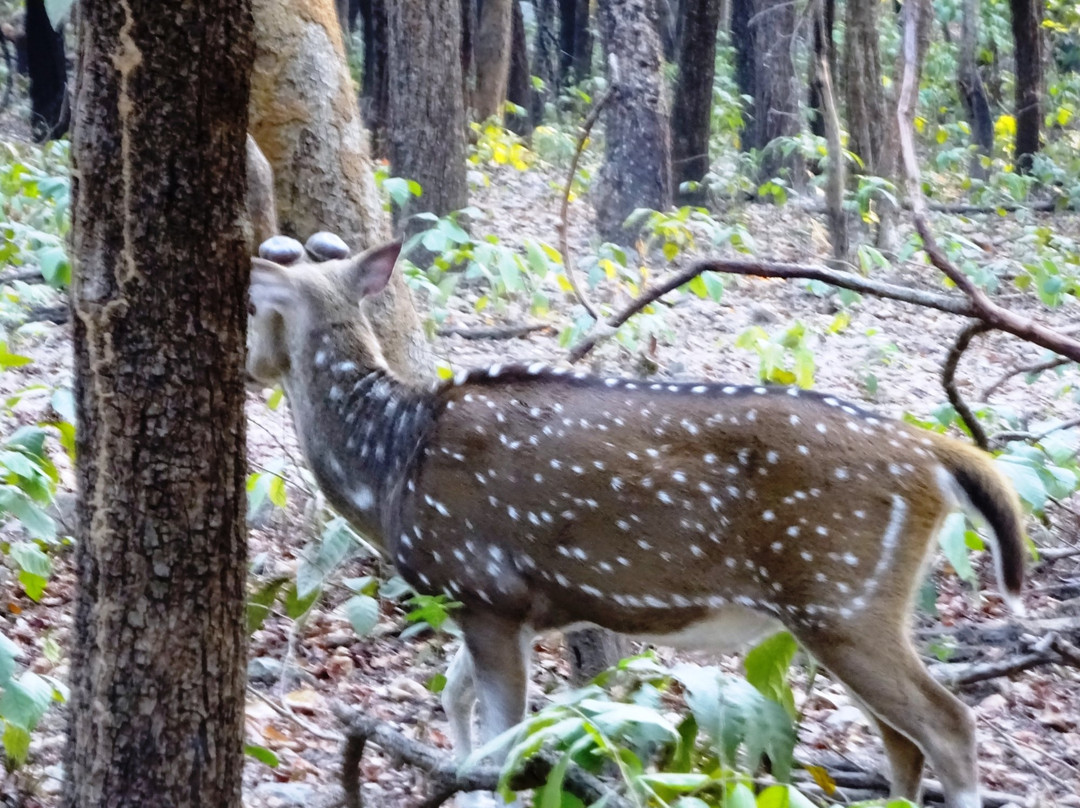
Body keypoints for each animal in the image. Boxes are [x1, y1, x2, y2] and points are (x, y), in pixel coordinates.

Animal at [248, 236, 1023, 808]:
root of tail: (937, 455)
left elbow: (505, 747)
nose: (253, 365)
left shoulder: (484, 587)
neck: (390, 466)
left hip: (842, 597)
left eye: (253, 305)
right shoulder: (499, 604)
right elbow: (454, 697)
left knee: (948, 725)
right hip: (851, 609)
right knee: (903, 741)